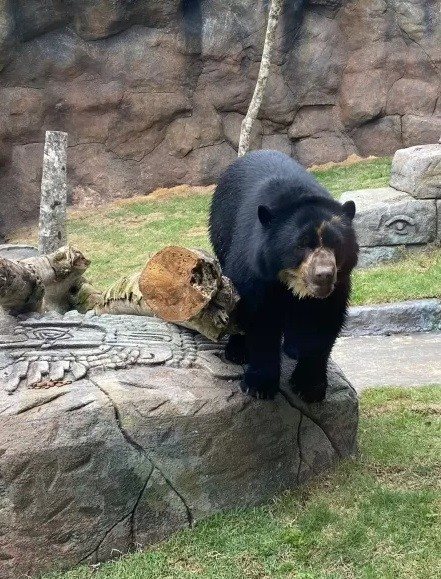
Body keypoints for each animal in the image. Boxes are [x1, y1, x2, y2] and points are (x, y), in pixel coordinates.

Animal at [207, 150, 358, 404]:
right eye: (301, 245)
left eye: (336, 244)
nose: (324, 275)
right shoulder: (255, 267)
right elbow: (259, 317)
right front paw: (259, 385)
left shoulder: (338, 285)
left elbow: (324, 322)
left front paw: (309, 387)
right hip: (221, 228)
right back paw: (236, 351)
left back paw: (293, 348)